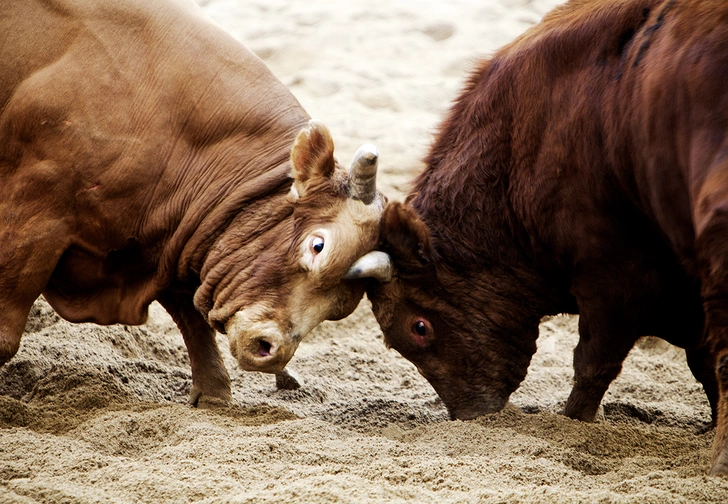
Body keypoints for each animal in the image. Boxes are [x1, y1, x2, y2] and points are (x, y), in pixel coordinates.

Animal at [0, 0, 392, 406]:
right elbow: (4, 336)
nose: (271, 350)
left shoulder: (172, 238)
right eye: (318, 246)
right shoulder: (36, 206)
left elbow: (188, 308)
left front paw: (213, 394)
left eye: (341, 305)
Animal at [370, 0, 728, 476]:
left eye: (420, 327)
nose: (471, 416)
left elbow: (594, 361)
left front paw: (572, 422)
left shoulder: (615, 274)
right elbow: (700, 362)